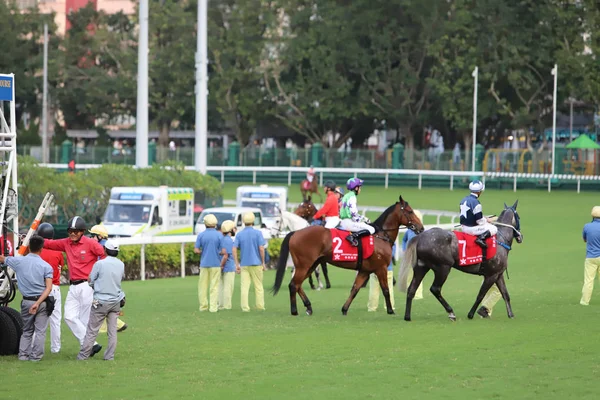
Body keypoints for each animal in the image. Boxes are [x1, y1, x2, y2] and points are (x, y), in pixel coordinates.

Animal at [274, 197, 424, 316]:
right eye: (410, 211)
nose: (421, 228)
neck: (380, 235)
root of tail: (295, 233)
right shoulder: (380, 268)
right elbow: (386, 290)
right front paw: (390, 310)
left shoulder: (364, 270)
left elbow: (355, 289)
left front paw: (344, 309)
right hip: (304, 265)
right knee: (294, 284)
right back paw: (294, 310)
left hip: (310, 265)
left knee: (297, 284)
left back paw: (308, 307)